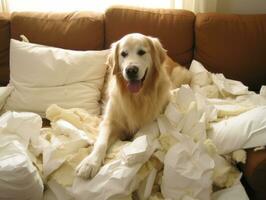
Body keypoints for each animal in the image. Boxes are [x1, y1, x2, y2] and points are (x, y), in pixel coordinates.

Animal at [75, 32, 191, 178]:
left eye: (141, 52)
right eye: (123, 54)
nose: (131, 70)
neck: (137, 98)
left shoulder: (156, 117)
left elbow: (142, 135)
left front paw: (135, 152)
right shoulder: (110, 120)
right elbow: (101, 142)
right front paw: (90, 163)